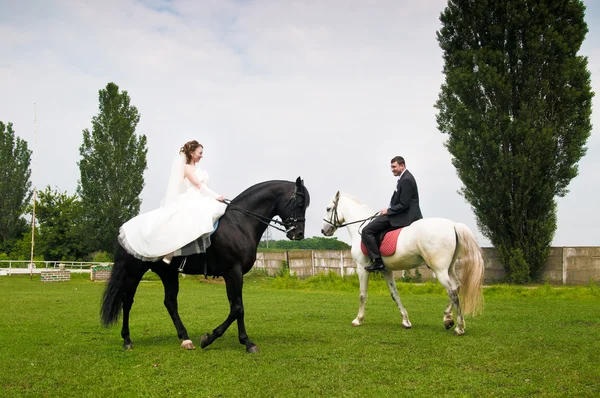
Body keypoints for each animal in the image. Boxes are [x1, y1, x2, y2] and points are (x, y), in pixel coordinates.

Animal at [101, 179, 310, 352]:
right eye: (300, 203)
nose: (299, 234)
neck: (239, 223)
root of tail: (125, 229)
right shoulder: (233, 272)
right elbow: (237, 308)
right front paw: (220, 339)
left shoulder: (233, 274)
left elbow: (236, 306)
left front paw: (240, 340)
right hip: (134, 272)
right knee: (127, 302)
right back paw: (127, 340)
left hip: (168, 273)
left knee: (170, 302)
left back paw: (185, 339)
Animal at [322, 191, 486, 334]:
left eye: (328, 208)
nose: (324, 230)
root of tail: (453, 225)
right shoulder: (386, 270)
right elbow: (395, 294)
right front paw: (406, 321)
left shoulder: (362, 267)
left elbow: (363, 294)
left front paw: (358, 320)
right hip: (449, 268)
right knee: (457, 286)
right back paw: (447, 319)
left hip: (439, 270)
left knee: (452, 292)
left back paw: (459, 327)